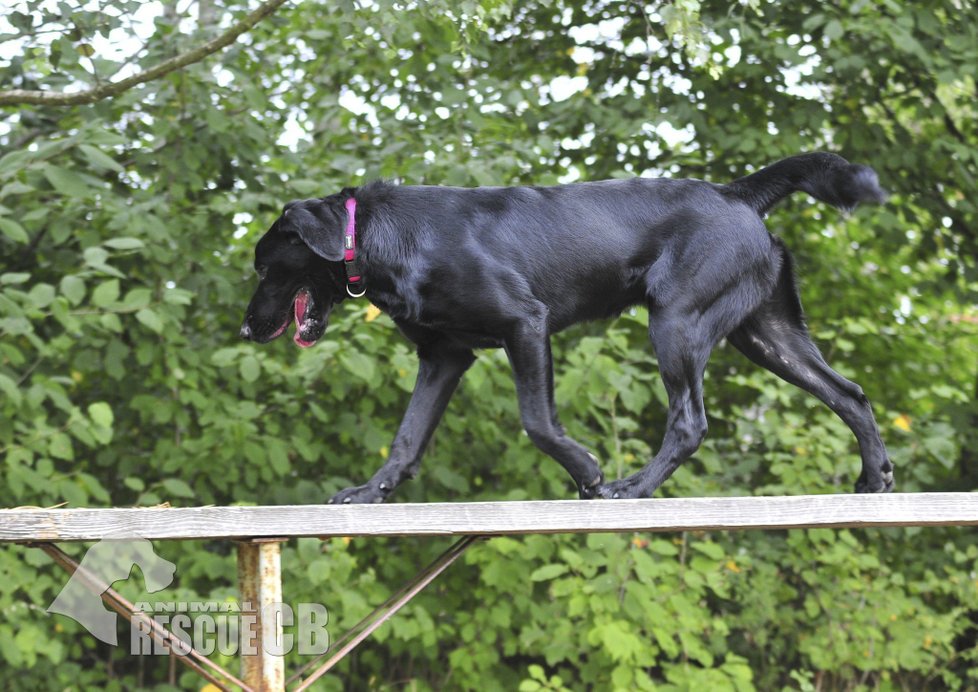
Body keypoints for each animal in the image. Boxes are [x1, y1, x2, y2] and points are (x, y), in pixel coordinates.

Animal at [238, 154, 892, 502]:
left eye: (265, 266)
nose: (246, 331)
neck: (380, 236)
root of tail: (736, 194)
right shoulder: (444, 358)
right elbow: (406, 438)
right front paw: (369, 493)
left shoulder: (525, 325)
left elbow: (538, 421)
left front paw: (588, 471)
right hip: (764, 334)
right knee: (851, 394)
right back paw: (875, 478)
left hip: (677, 323)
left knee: (689, 422)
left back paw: (633, 488)